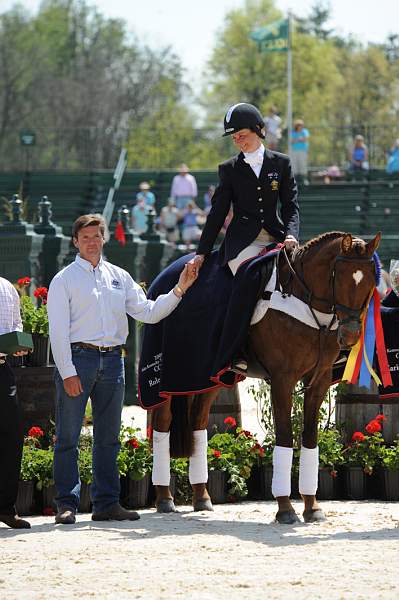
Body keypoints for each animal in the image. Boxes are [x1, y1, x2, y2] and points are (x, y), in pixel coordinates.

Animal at [152, 232, 382, 524]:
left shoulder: (318, 381)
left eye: (370, 281)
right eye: (339, 278)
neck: (304, 301)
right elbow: (284, 437)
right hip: (169, 380)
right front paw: (285, 509)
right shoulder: (283, 379)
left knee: (198, 422)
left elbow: (310, 439)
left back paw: (202, 496)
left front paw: (312, 507)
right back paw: (164, 498)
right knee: (163, 423)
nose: (350, 336)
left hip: (212, 377)